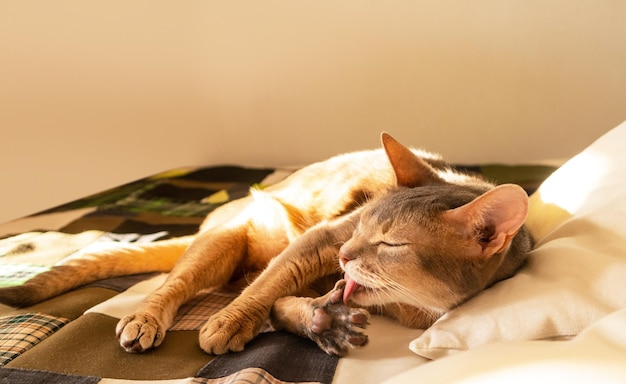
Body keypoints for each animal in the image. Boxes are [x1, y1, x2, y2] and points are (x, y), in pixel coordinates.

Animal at [0, 133, 532, 356]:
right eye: (360, 230)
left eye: (390, 244)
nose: (346, 256)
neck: (409, 308)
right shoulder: (321, 240)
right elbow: (267, 289)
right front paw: (228, 322)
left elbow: (280, 301)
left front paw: (321, 320)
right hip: (223, 243)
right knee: (175, 284)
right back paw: (145, 319)